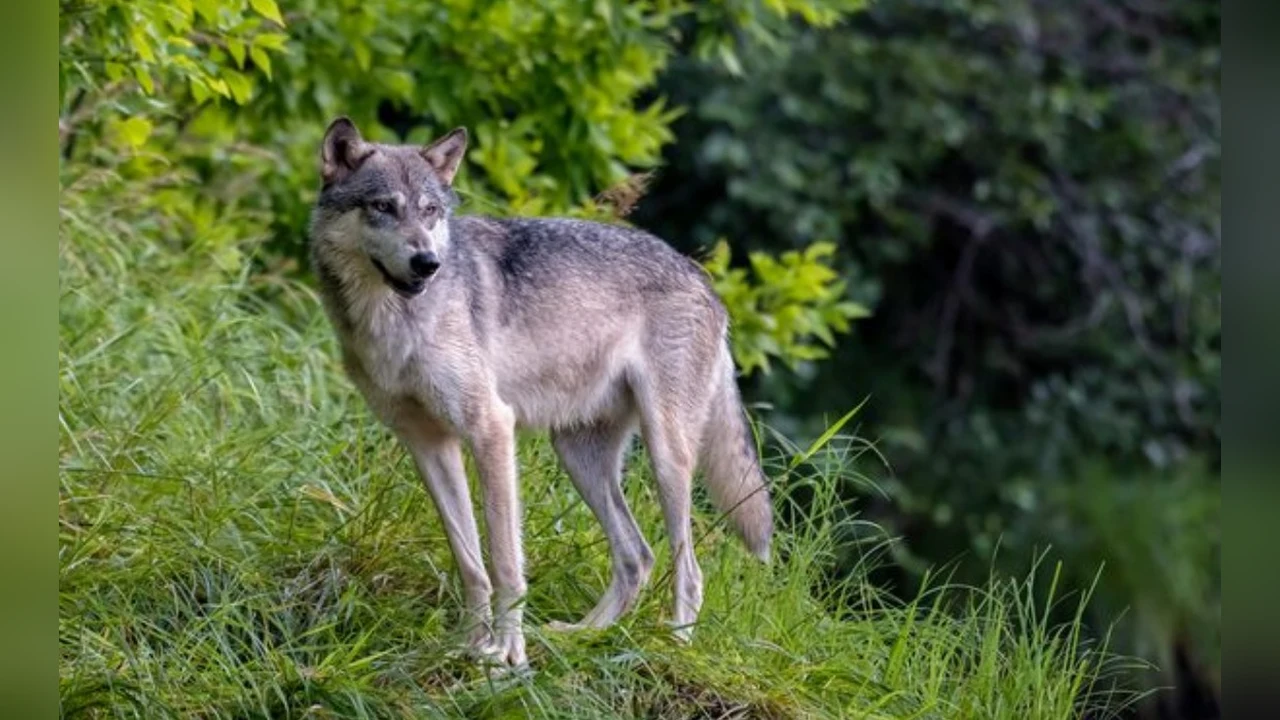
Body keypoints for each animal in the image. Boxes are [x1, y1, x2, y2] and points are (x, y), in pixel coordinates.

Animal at [307, 117, 772, 667]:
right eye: (382, 207)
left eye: (430, 211)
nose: (427, 263)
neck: (392, 323)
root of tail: (705, 282)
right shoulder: (427, 444)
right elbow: (470, 562)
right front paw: (468, 645)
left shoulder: (491, 429)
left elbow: (506, 561)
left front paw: (507, 653)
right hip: (577, 456)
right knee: (637, 556)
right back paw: (583, 636)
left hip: (666, 457)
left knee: (689, 570)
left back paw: (671, 647)